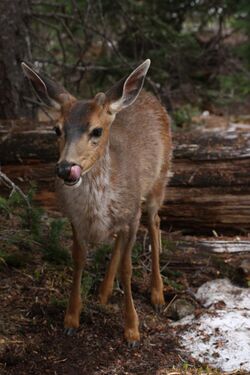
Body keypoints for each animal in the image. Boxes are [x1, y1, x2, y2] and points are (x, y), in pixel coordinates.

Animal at [21, 58, 172, 346]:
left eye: (97, 130)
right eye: (56, 129)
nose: (65, 168)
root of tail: (147, 95)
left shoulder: (132, 214)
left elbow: (128, 268)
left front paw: (132, 330)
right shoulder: (74, 219)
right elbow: (79, 259)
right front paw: (71, 319)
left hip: (159, 180)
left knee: (155, 221)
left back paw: (157, 293)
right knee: (120, 239)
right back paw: (103, 292)